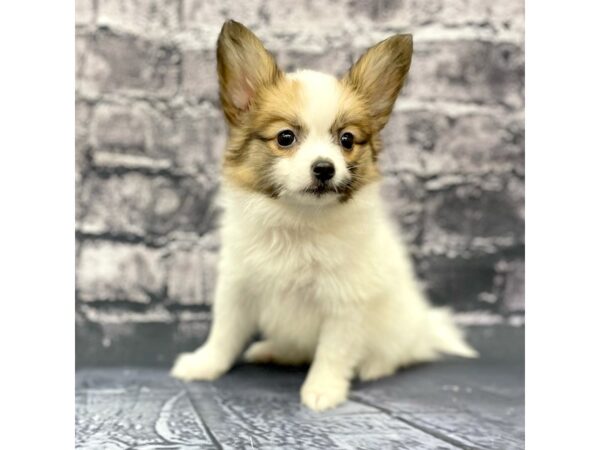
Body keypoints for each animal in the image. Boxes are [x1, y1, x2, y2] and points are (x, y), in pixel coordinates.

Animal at [170, 21, 478, 412]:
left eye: (346, 140)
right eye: (285, 137)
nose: (324, 168)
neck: (299, 221)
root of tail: (425, 326)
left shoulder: (345, 301)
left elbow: (333, 351)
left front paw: (323, 390)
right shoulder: (238, 287)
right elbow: (223, 334)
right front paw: (203, 364)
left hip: (399, 330)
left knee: (397, 354)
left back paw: (375, 366)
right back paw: (272, 350)